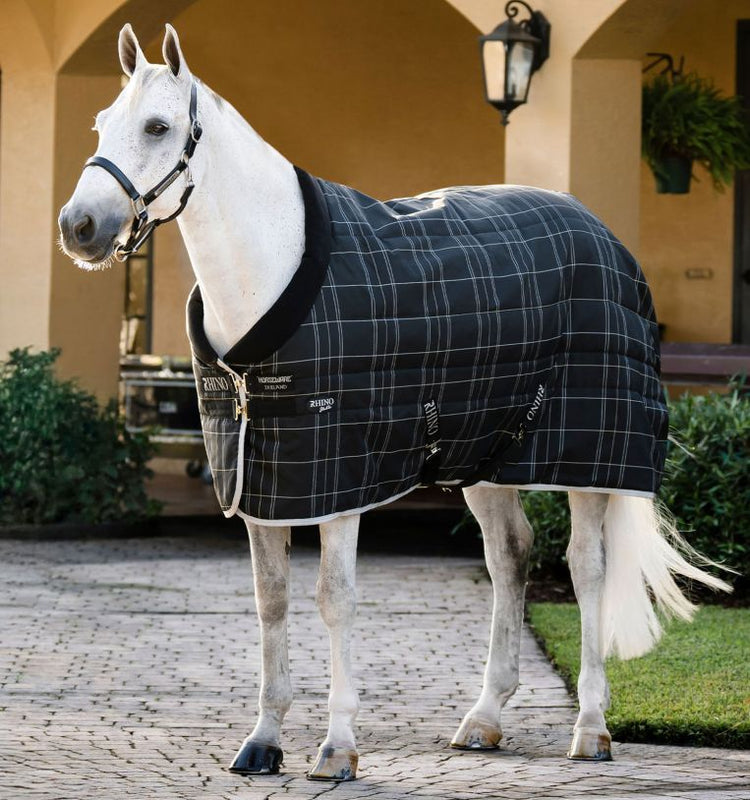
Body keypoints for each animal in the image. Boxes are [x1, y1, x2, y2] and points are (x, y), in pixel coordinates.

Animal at [58, 24, 729, 782]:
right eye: (100, 124)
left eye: (158, 126)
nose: (79, 226)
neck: (273, 269)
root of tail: (602, 232)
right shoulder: (261, 480)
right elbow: (271, 601)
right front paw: (263, 740)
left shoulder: (338, 481)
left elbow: (334, 599)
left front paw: (336, 747)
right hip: (486, 458)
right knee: (510, 557)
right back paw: (484, 718)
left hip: (587, 462)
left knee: (586, 568)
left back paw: (590, 727)